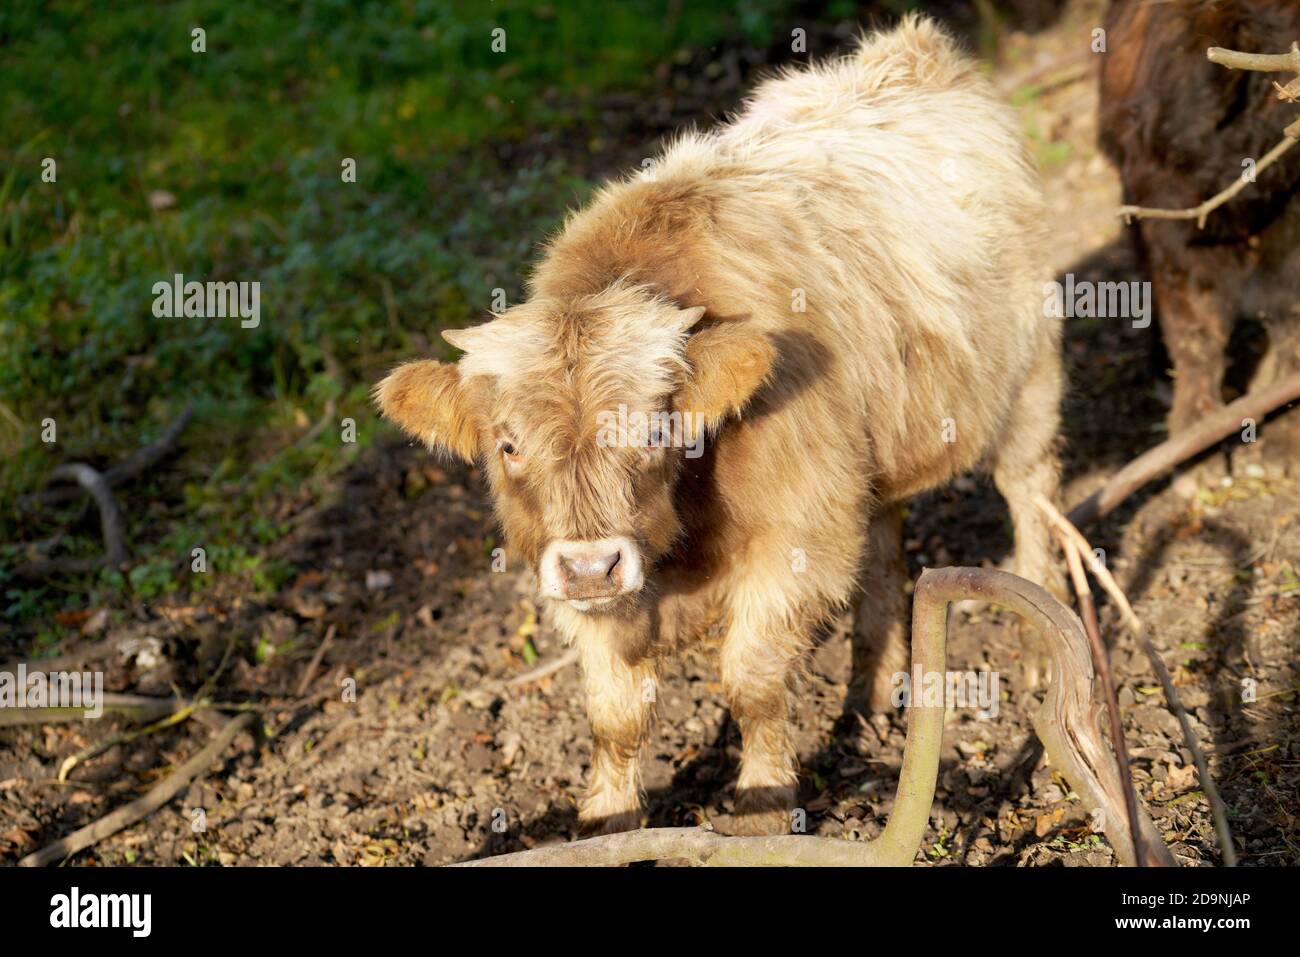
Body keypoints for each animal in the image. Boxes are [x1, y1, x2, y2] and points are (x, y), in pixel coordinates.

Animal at [376, 15, 1064, 836]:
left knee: (1030, 494)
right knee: (884, 545)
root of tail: (916, 49)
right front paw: (607, 820)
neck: (684, 536)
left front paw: (763, 806)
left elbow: (752, 679)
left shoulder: (796, 538)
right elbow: (615, 714)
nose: (590, 567)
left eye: (651, 433)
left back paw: (1036, 637)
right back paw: (870, 692)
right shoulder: (591, 590)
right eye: (508, 445)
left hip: (1029, 381)